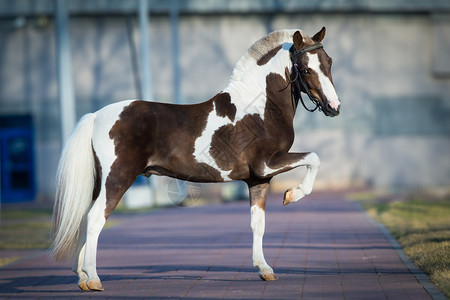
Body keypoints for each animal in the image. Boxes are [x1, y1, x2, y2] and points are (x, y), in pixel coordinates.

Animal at [51, 27, 342, 290]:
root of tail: (97, 116)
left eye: (328, 62)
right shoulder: (269, 163)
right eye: (305, 69)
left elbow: (257, 224)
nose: (334, 107)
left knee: (84, 219)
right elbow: (314, 158)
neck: (260, 109)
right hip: (117, 179)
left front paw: (265, 269)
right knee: (95, 219)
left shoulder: (259, 179)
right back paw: (94, 278)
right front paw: (293, 194)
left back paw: (82, 277)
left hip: (98, 183)